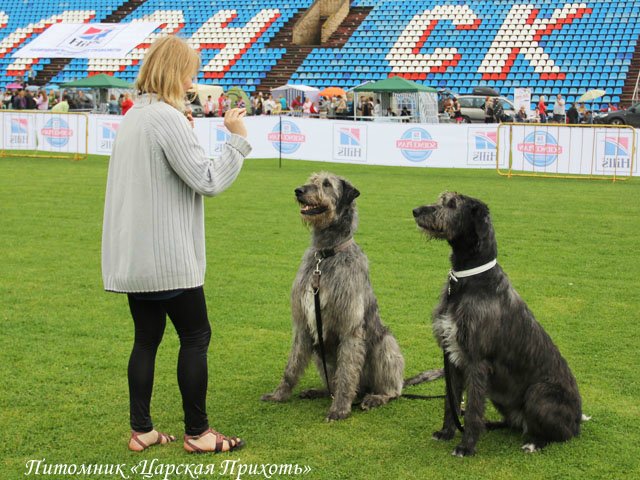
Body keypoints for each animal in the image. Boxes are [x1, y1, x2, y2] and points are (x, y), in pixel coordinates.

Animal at [262, 172, 404, 420]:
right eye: (311, 179)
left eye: (327, 184)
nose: (298, 190)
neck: (325, 256)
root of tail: (364, 389)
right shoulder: (303, 326)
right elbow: (291, 367)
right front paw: (279, 395)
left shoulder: (350, 328)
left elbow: (347, 373)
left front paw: (339, 409)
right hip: (319, 350)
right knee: (333, 381)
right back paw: (319, 391)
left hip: (385, 344)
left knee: (392, 389)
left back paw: (375, 397)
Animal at [412, 192, 584, 458]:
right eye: (441, 198)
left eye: (451, 204)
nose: (416, 211)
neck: (467, 280)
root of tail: (578, 419)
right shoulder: (452, 357)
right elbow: (451, 401)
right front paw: (447, 432)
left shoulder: (476, 361)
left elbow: (472, 408)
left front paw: (466, 446)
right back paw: (493, 424)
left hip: (539, 393)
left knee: (561, 435)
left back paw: (535, 442)